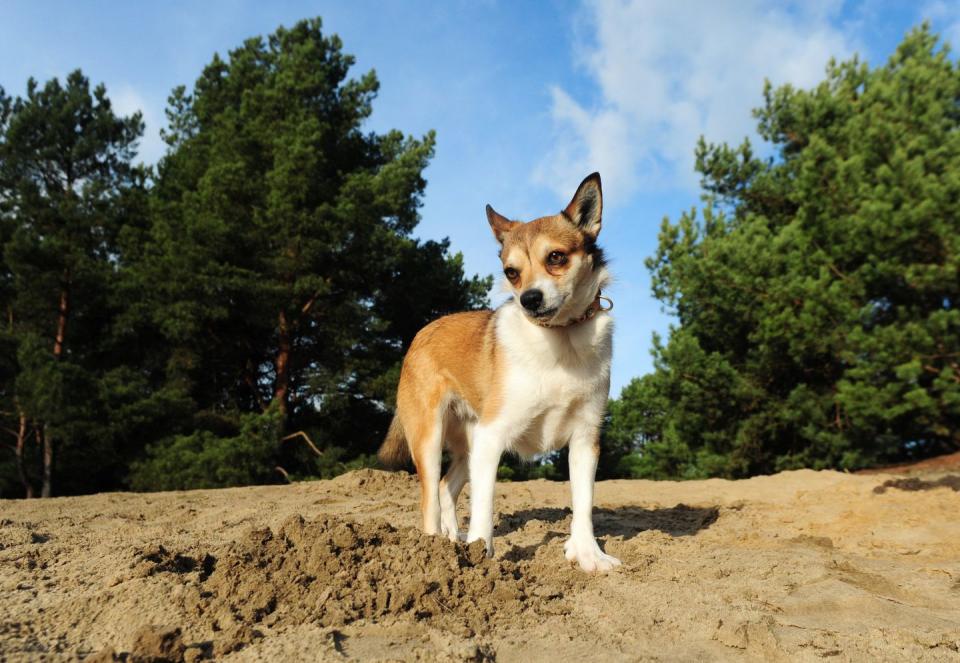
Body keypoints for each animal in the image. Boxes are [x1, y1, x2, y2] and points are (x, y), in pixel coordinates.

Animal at [378, 174, 620, 572]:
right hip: (431, 438)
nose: (529, 300)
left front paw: (589, 555)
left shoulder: (585, 440)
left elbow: (583, 504)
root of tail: (420, 335)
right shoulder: (493, 437)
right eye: (512, 273)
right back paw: (434, 551)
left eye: (556, 257)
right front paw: (480, 555)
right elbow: (483, 508)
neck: (560, 339)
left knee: (445, 488)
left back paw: (451, 540)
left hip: (468, 447)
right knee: (430, 501)